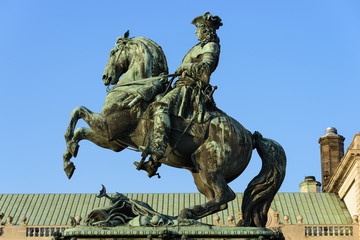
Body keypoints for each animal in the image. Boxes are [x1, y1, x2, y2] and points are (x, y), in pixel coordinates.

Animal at [63, 32, 286, 227]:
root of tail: (249, 135)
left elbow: (78, 111)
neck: (134, 88)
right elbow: (80, 129)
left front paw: (68, 152)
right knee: (218, 199)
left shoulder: (109, 128)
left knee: (225, 195)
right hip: (200, 175)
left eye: (112, 52)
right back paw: (181, 216)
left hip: (210, 168)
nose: (105, 77)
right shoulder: (113, 142)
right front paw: (69, 158)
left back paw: (185, 212)